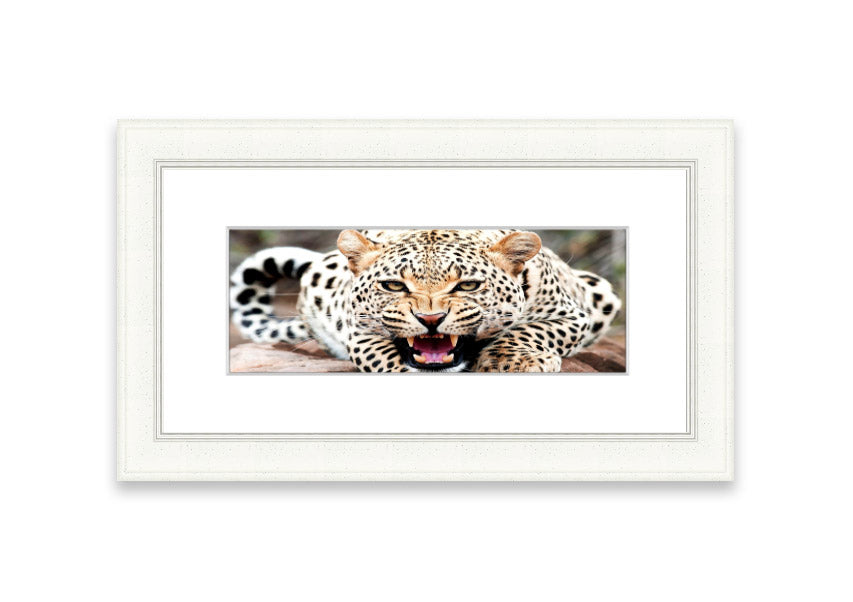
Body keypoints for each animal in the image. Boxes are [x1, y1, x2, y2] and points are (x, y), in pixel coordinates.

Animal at [230, 229, 621, 373]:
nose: (430, 320)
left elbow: (530, 331)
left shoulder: (574, 314)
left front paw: (514, 361)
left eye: (467, 285)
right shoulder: (358, 332)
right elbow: (384, 358)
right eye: (393, 285)